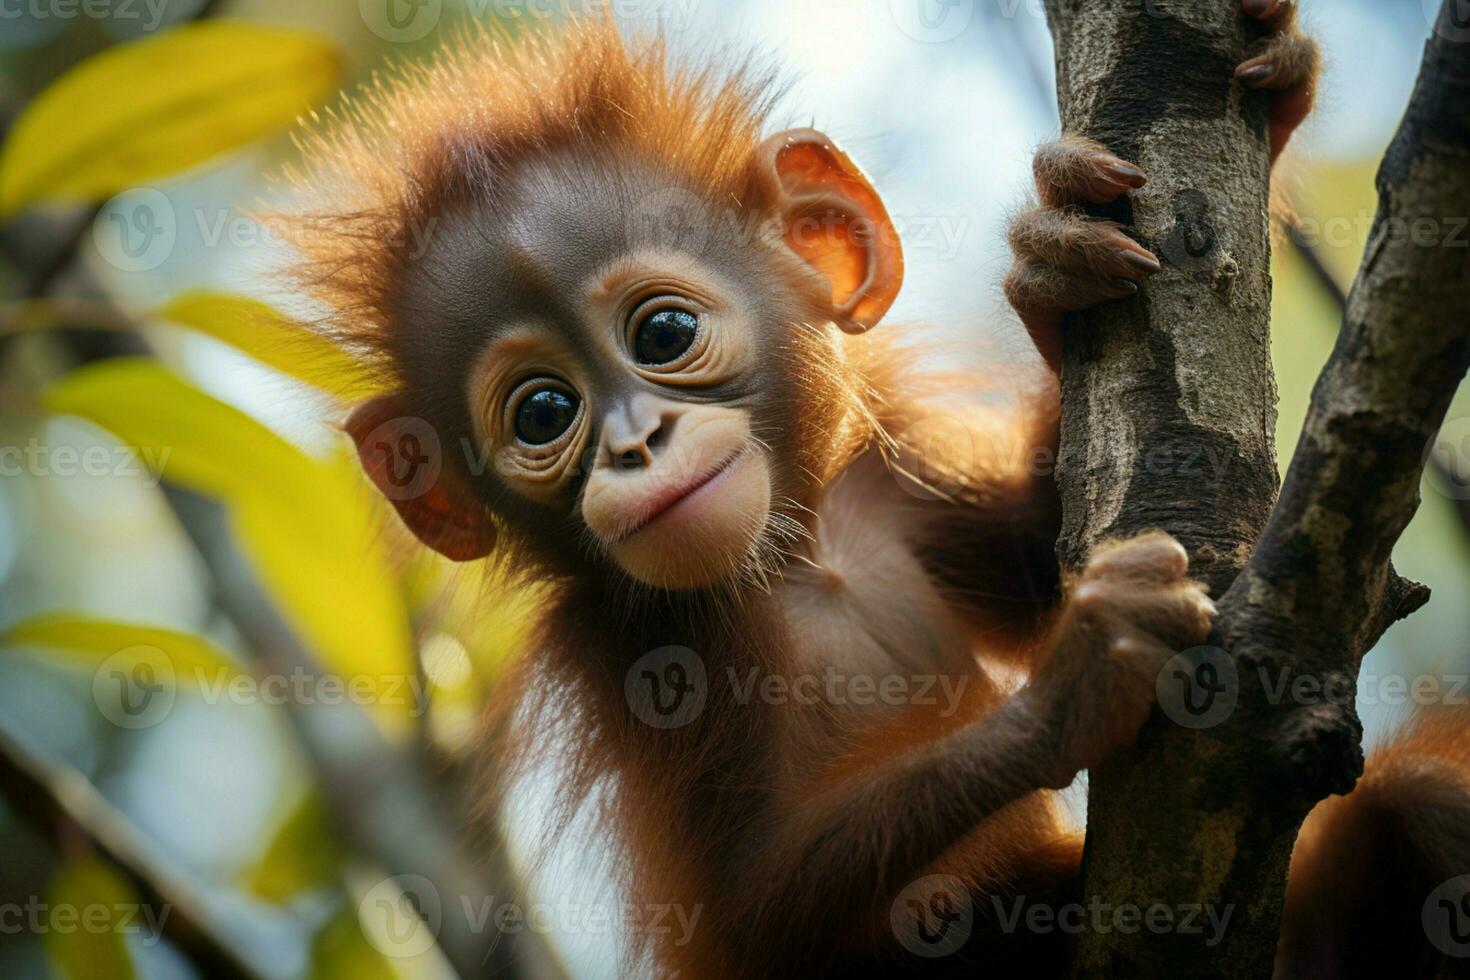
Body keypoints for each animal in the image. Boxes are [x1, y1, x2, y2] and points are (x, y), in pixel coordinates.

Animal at [283, 3, 1470, 975]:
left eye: (661, 335)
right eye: (541, 414)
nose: (636, 443)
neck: (803, 560)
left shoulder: (892, 492)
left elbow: (1031, 565)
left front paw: (1059, 260)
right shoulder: (631, 649)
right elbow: (758, 910)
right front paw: (1081, 674)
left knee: (1422, 810)